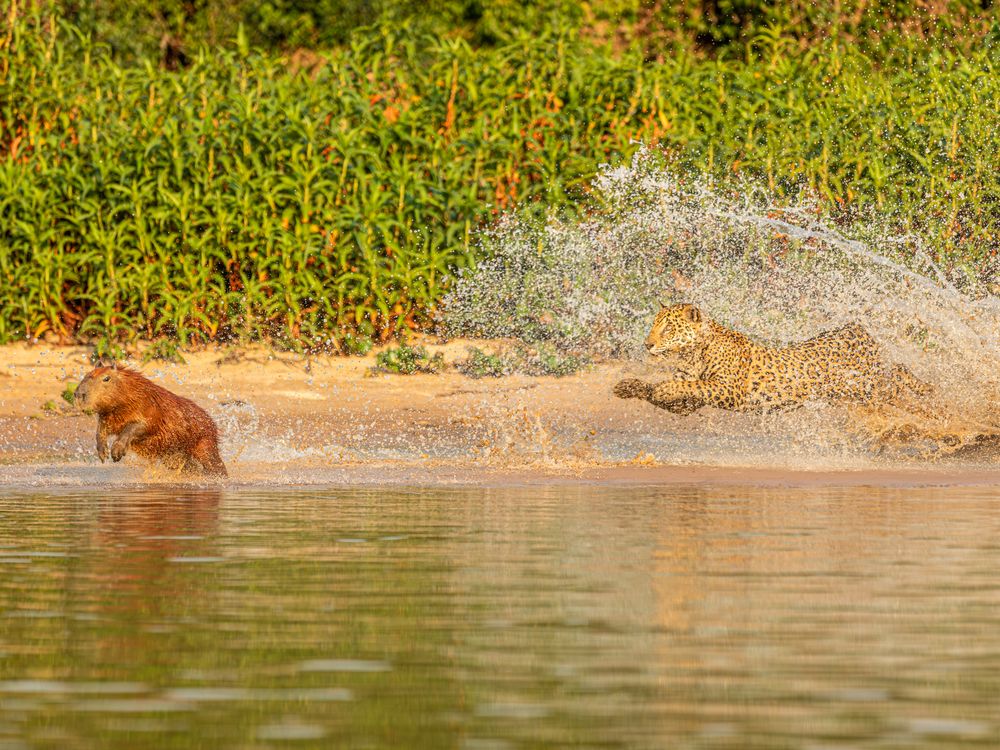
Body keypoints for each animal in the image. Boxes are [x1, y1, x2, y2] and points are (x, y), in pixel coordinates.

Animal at [613, 303, 933, 416]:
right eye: (653, 326)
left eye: (667, 328)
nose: (647, 344)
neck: (692, 353)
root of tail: (856, 328)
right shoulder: (688, 406)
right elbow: (659, 390)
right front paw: (629, 386)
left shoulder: (728, 390)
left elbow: (693, 385)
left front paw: (664, 387)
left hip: (870, 386)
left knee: (899, 376)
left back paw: (933, 399)